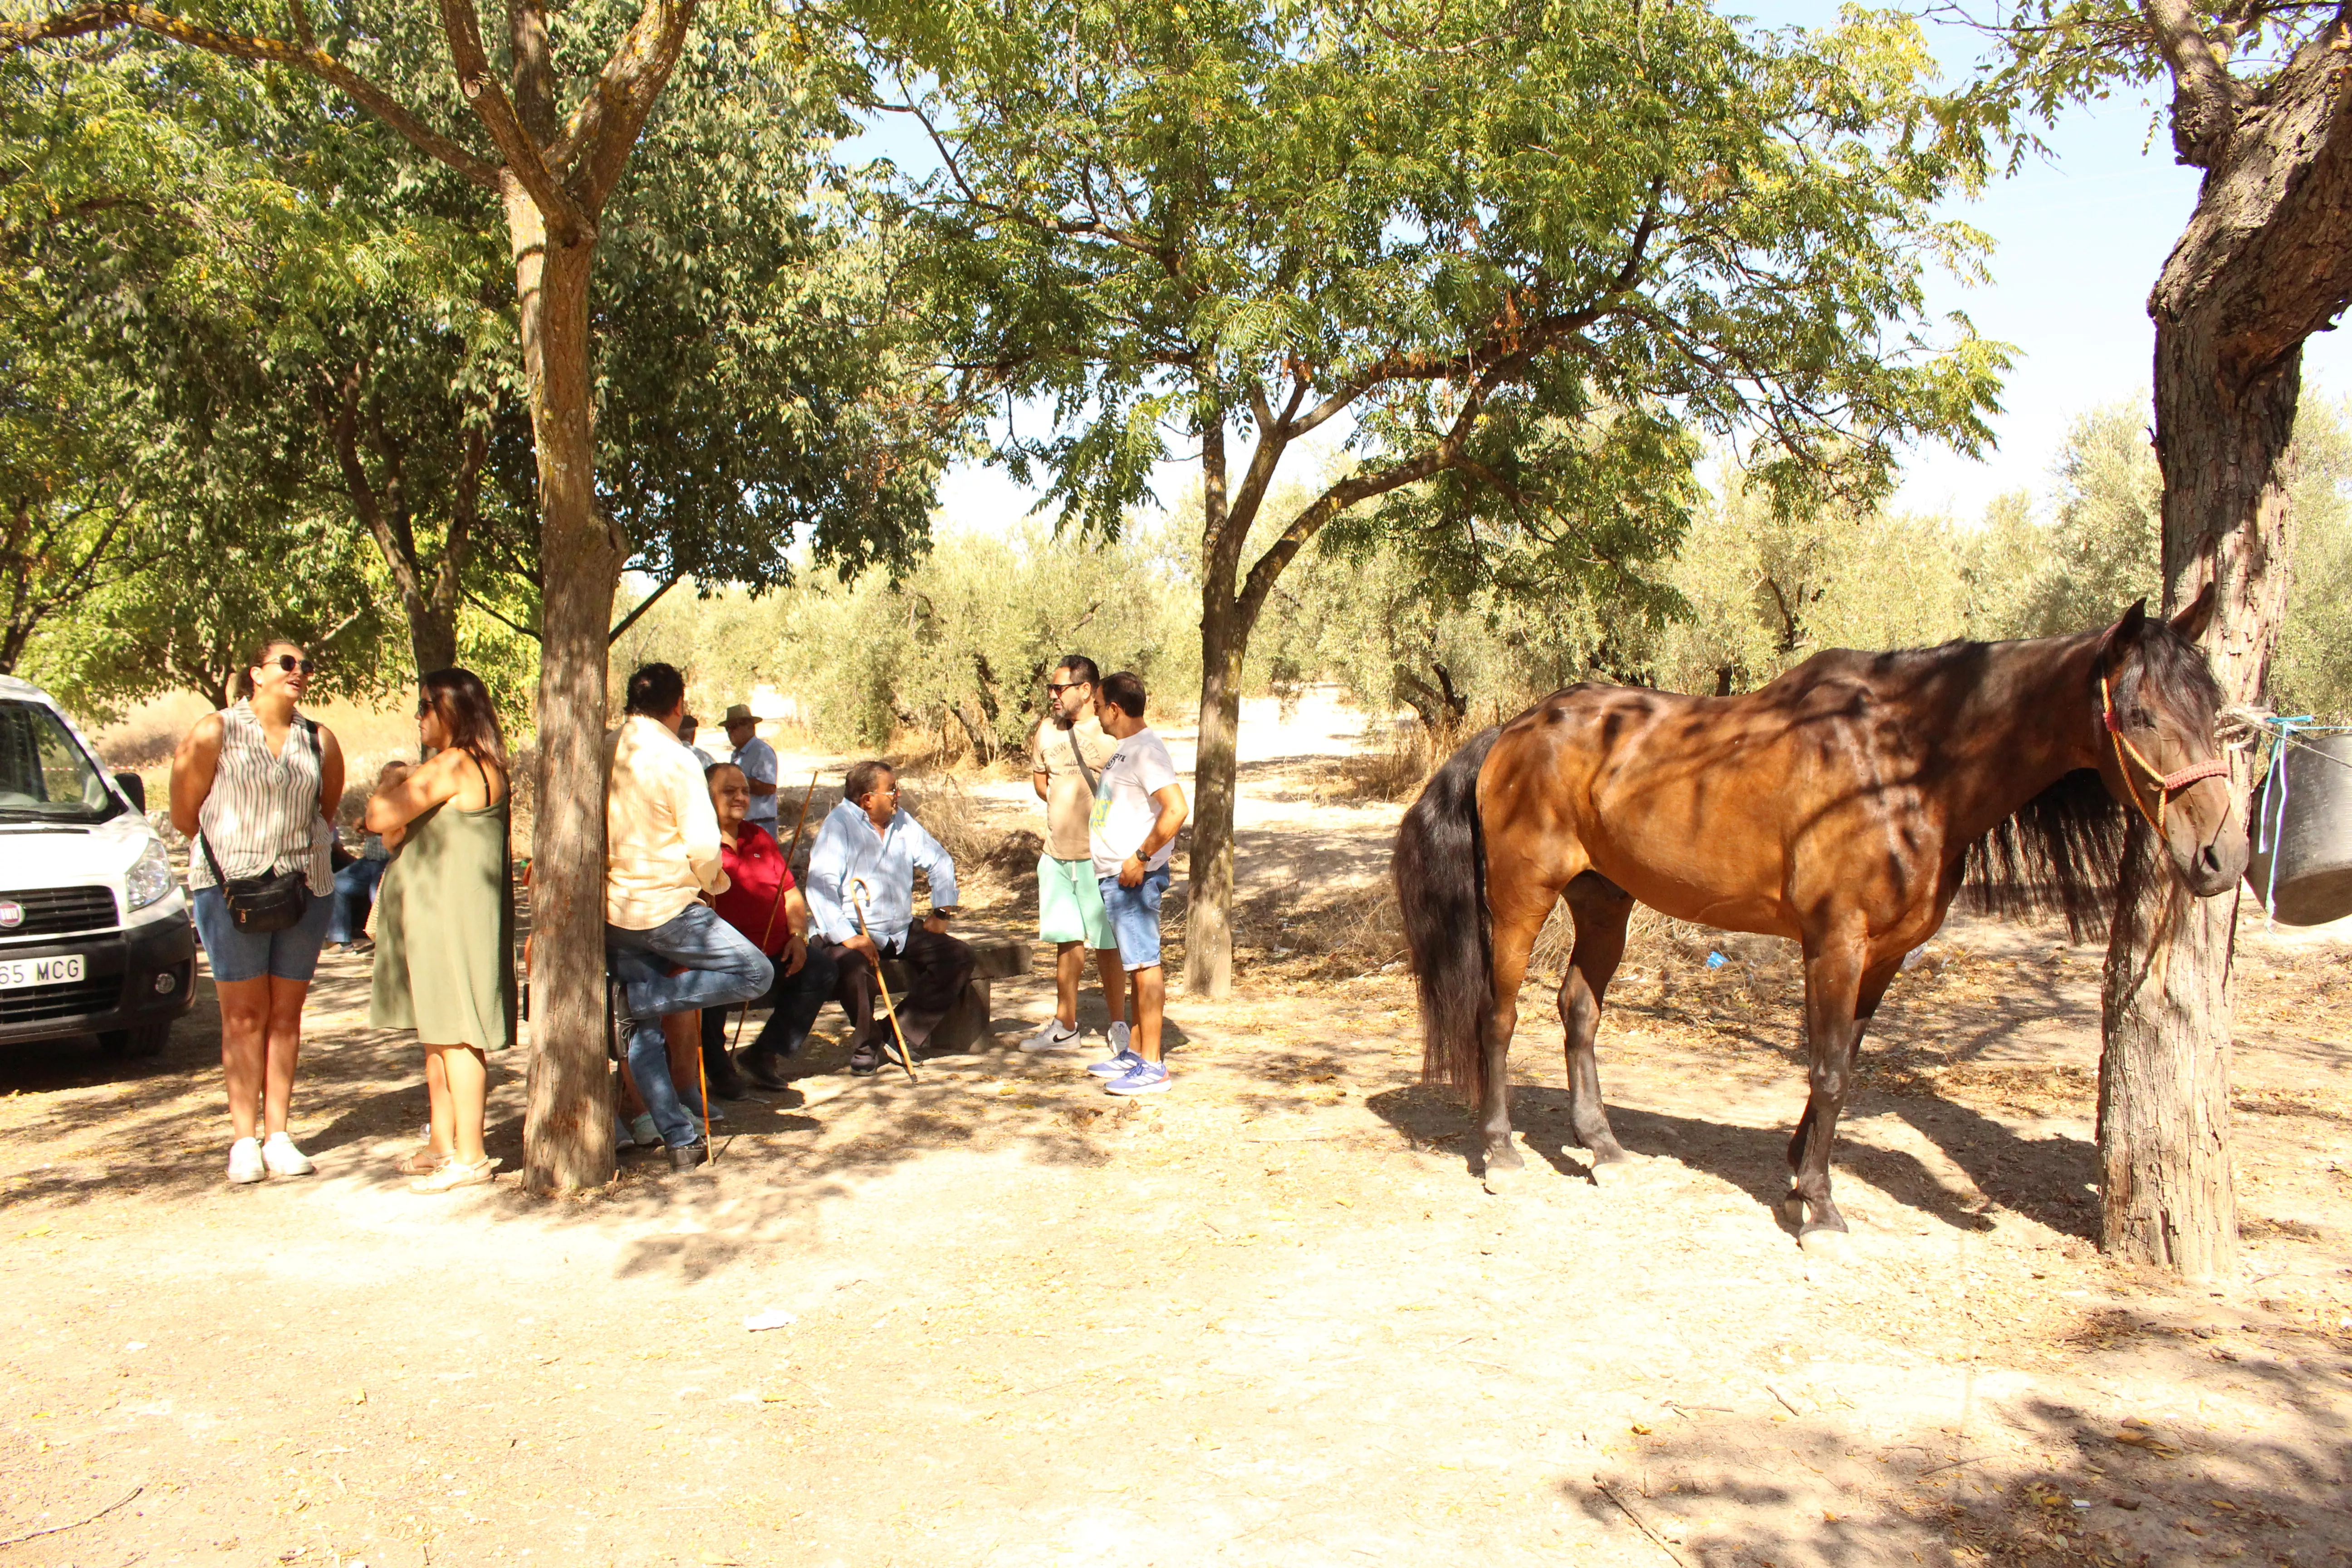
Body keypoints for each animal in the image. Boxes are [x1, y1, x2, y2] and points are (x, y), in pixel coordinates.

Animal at [1392, 594, 2239, 1260]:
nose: (2220, 857)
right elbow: (1829, 1070)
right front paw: (1823, 1210)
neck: (1902, 764)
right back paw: (1499, 1153)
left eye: (2219, 716)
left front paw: (1801, 1175)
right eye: (2140, 715)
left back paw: (1601, 1147)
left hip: (1605, 901)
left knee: (1579, 1010)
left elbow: (1845, 1065)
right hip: (1522, 895)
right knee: (1498, 1016)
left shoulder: (1885, 956)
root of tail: (1515, 729)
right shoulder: (1835, 944)